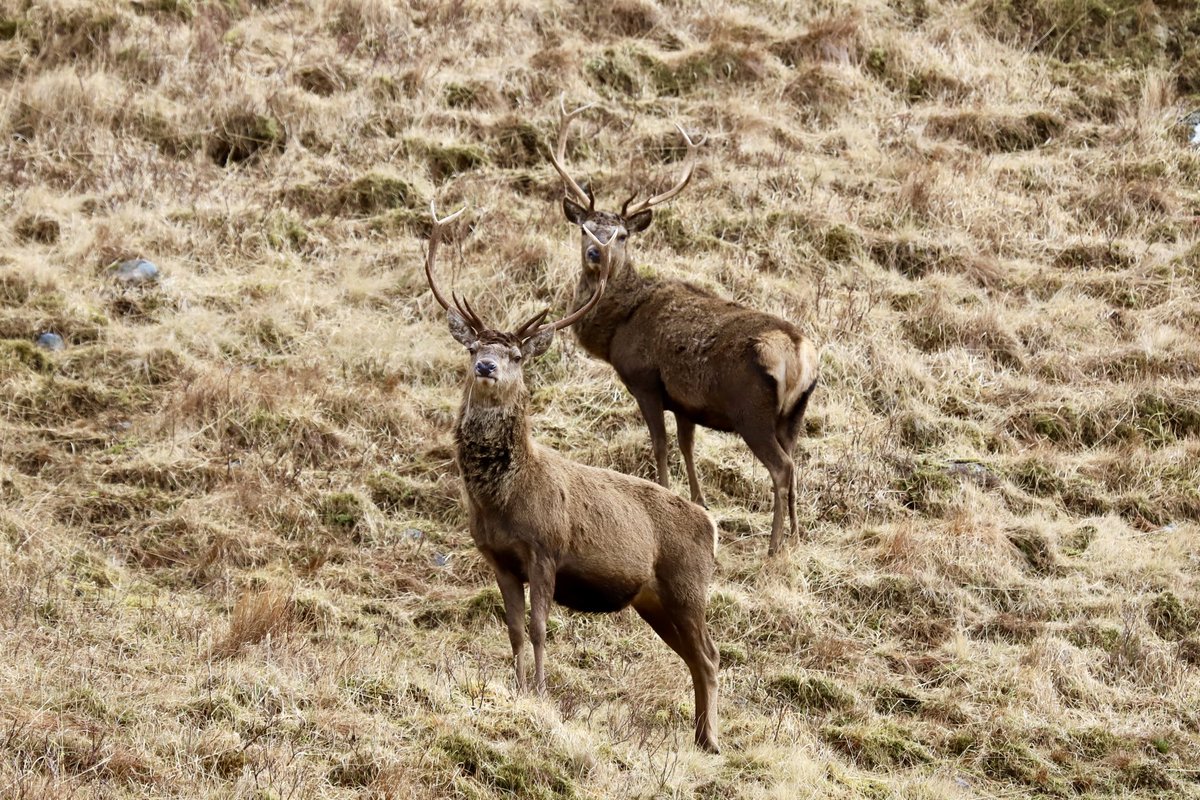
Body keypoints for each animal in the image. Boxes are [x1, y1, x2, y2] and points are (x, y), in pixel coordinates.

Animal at [423, 203, 722, 753]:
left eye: (517, 355)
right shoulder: (499, 558)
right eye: (472, 347)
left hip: (688, 585)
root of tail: (713, 527)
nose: (487, 365)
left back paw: (711, 739)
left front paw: (541, 694)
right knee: (694, 658)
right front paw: (519, 688)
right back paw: (696, 735)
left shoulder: (546, 549)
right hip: (654, 599)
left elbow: (541, 627)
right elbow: (514, 630)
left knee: (710, 656)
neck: (502, 502)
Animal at [547, 102, 820, 556]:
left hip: (752, 411)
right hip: (795, 414)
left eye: (621, 235)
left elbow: (660, 445)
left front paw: (662, 495)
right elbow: (688, 447)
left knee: (782, 469)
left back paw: (773, 545)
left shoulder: (645, 381)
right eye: (585, 228)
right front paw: (698, 502)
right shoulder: (687, 403)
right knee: (796, 464)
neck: (616, 329)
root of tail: (799, 353)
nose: (595, 254)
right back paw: (797, 537)